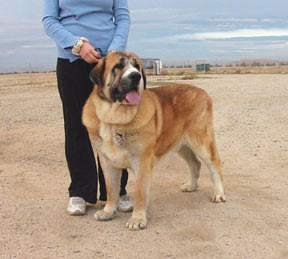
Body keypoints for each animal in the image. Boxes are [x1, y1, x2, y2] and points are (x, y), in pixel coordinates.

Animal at [82, 51, 226, 231]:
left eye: (137, 66)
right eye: (119, 66)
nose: (136, 76)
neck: (114, 119)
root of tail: (202, 92)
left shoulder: (142, 161)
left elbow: (139, 192)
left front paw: (137, 219)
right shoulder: (107, 163)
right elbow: (111, 190)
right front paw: (108, 212)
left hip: (201, 141)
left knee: (214, 164)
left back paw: (219, 194)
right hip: (181, 144)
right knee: (195, 163)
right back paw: (191, 186)